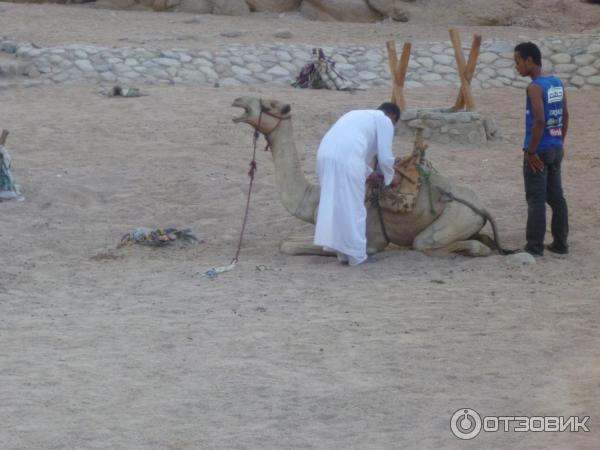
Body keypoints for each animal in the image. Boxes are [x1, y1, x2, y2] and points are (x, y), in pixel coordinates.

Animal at [232, 96, 508, 258]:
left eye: (268, 105)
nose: (238, 102)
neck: (314, 199)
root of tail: (481, 206)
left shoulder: (368, 241)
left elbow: (290, 246)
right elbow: (286, 242)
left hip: (456, 217)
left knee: (427, 243)